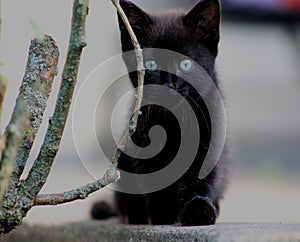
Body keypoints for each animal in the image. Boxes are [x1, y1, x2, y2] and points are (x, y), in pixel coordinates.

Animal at [91, 0, 230, 227]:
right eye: (151, 65)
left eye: (185, 64)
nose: (168, 85)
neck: (174, 121)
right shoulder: (140, 143)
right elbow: (155, 183)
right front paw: (161, 216)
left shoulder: (211, 140)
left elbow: (201, 179)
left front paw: (199, 211)